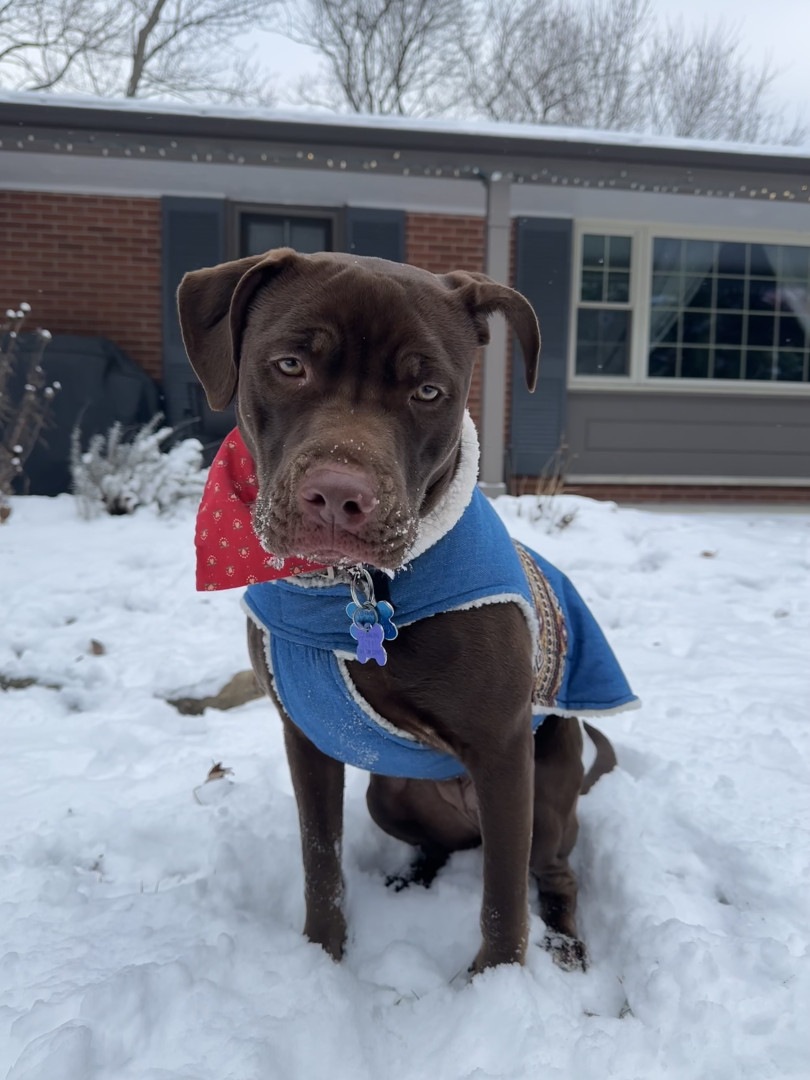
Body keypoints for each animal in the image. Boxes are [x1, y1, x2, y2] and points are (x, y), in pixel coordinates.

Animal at [178, 248, 636, 974]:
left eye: (427, 392)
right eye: (290, 364)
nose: (338, 497)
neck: (347, 591)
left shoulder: (503, 751)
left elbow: (503, 900)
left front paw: (492, 983)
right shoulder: (305, 737)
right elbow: (321, 861)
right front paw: (322, 956)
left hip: (546, 794)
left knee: (548, 872)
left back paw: (565, 944)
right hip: (387, 795)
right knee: (440, 846)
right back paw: (412, 877)